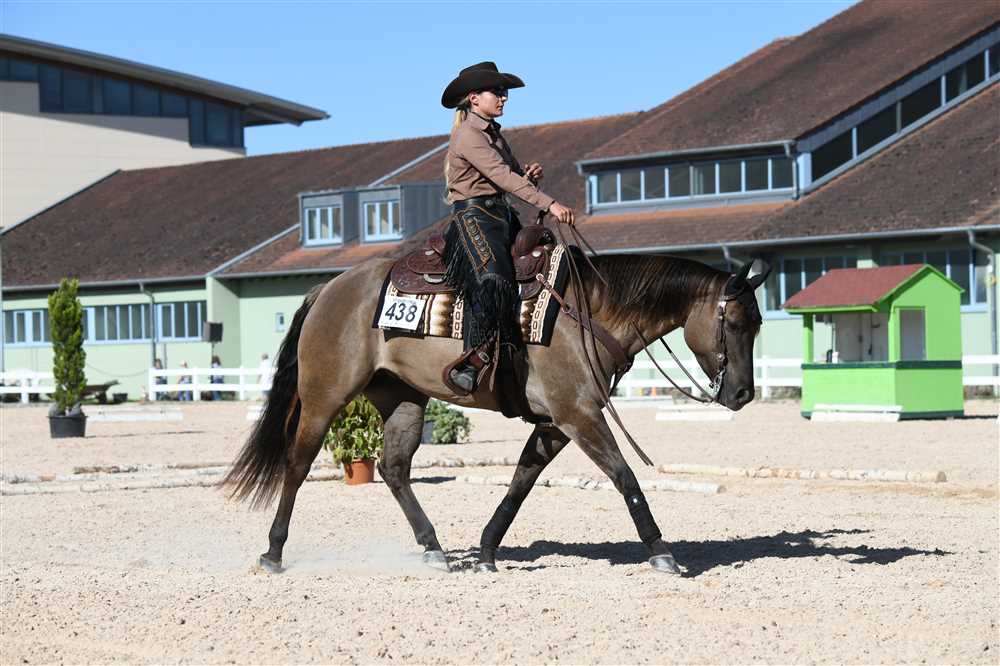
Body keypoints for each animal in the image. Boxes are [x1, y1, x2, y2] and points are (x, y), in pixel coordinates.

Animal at [223, 252, 767, 575]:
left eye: (759, 322)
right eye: (736, 322)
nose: (743, 394)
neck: (588, 313)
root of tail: (329, 289)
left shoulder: (555, 424)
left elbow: (520, 484)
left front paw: (486, 551)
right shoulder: (579, 415)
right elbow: (625, 477)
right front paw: (660, 551)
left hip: (402, 399)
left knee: (394, 468)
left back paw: (434, 548)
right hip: (324, 397)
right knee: (297, 465)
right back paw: (273, 552)